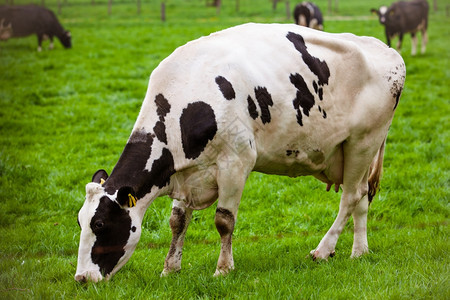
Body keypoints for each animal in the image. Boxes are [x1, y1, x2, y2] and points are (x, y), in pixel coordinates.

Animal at [74, 22, 404, 282]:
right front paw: (170, 268)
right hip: (355, 151)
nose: (81, 278)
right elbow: (177, 222)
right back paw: (359, 251)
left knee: (350, 197)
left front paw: (223, 269)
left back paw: (323, 250)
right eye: (79, 221)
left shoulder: (235, 163)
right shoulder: (185, 173)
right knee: (362, 196)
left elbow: (223, 221)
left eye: (100, 224)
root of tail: (386, 50)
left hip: (364, 141)